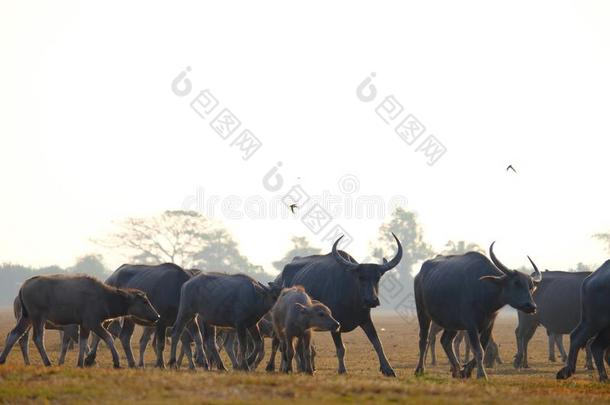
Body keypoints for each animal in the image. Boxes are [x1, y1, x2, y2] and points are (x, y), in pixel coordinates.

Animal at [274, 234, 400, 376]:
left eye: (377, 277)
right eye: (360, 277)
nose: (371, 300)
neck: (351, 302)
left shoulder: (366, 320)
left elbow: (378, 343)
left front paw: (388, 369)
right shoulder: (335, 324)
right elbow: (341, 349)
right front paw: (342, 369)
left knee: (300, 347)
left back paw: (305, 368)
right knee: (287, 346)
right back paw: (289, 368)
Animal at [414, 243, 536, 378]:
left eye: (531, 287)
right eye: (516, 283)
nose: (531, 306)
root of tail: (419, 275)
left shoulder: (489, 324)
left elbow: (483, 346)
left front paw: (466, 370)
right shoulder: (471, 325)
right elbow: (478, 350)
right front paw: (481, 374)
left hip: (452, 323)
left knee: (445, 341)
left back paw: (456, 369)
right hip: (422, 313)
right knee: (423, 339)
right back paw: (420, 369)